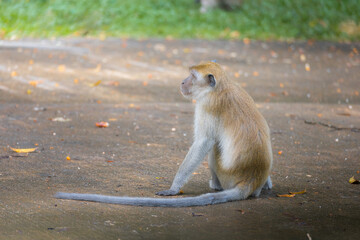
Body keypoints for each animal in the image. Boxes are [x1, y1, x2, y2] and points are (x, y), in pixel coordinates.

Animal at [54, 61, 272, 206]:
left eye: (192, 77)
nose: (182, 82)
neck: (221, 87)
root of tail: (250, 179)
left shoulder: (206, 105)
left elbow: (203, 142)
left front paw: (174, 188)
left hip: (226, 174)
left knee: (213, 148)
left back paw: (216, 186)